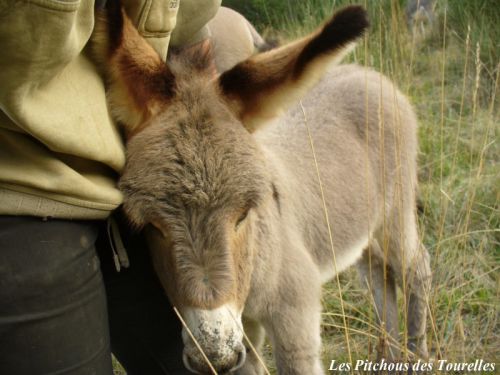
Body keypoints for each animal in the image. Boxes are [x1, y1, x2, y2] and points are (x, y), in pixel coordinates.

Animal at [93, 3, 430, 375]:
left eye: (244, 215)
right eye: (152, 227)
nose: (214, 356)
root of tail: (367, 75)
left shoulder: (295, 315)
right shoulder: (245, 332)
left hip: (395, 215)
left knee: (415, 268)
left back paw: (417, 354)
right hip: (363, 230)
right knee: (379, 277)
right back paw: (391, 358)